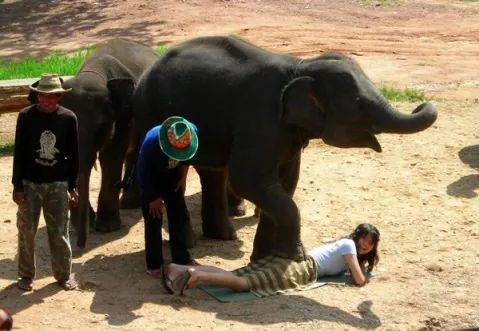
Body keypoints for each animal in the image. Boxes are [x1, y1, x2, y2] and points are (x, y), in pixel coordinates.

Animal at [31, 38, 158, 249]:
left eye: (100, 127)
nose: (81, 243)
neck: (93, 72)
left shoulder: (122, 115)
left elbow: (111, 155)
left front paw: (107, 227)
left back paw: (130, 203)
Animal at [134, 36, 438, 264]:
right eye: (360, 104)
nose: (421, 101)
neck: (302, 65)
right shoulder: (260, 119)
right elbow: (249, 180)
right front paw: (298, 258)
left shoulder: (287, 133)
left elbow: (285, 182)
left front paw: (267, 258)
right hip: (150, 112)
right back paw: (191, 242)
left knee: (212, 173)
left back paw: (224, 236)